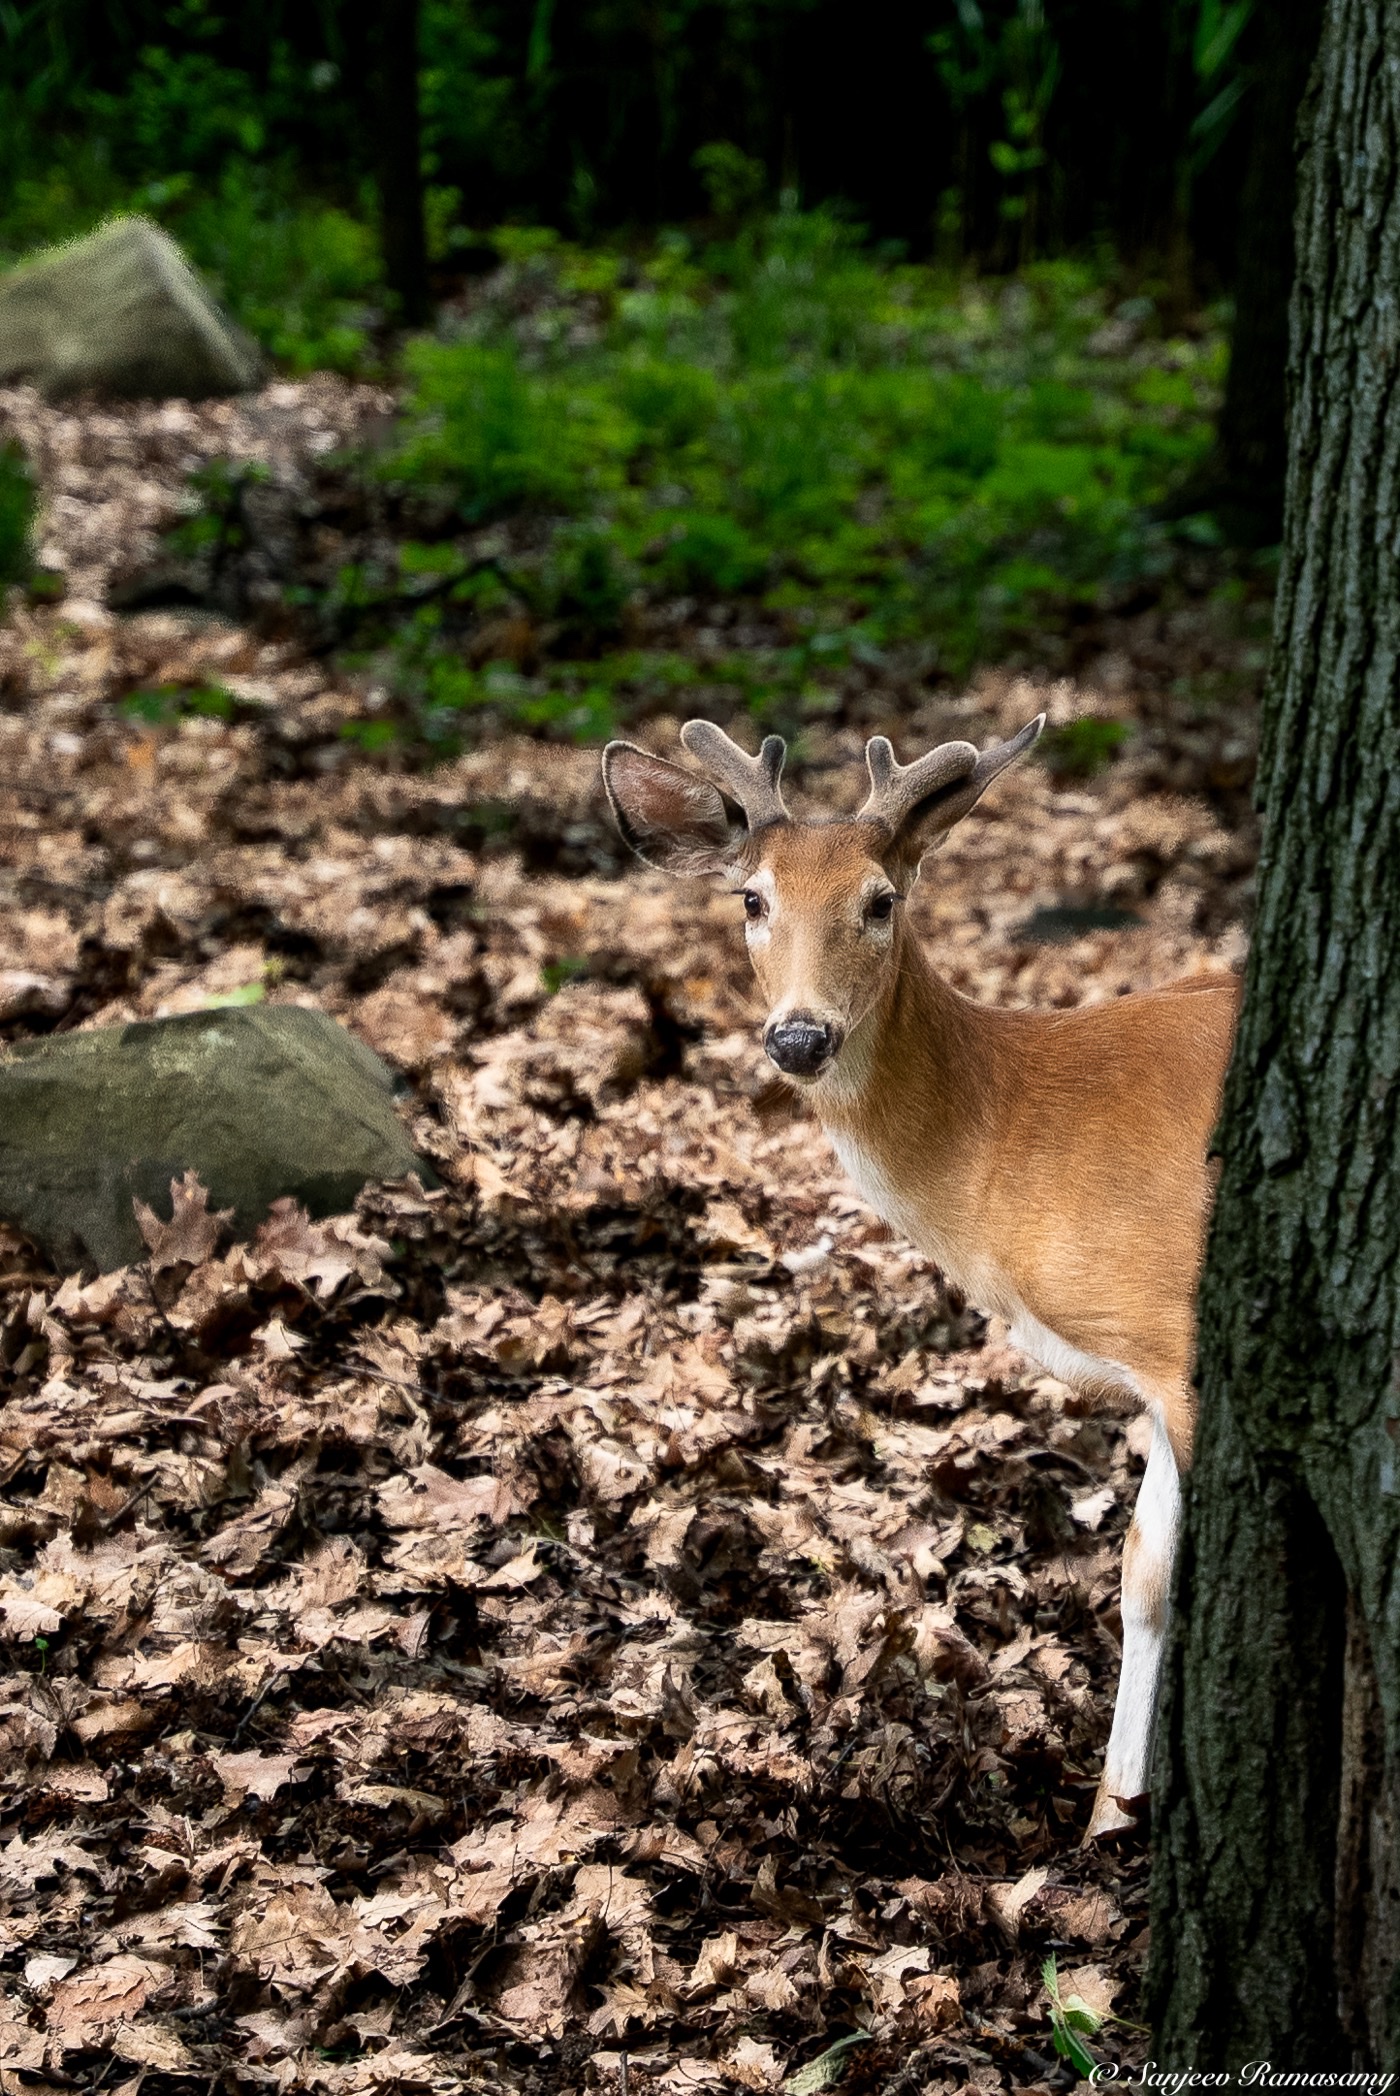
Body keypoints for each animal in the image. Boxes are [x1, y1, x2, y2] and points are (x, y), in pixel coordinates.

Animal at [601, 715, 1238, 1838]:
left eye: (879, 899)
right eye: (751, 897)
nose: (799, 1034)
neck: (1012, 1133)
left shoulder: (1179, 1332)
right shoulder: (1157, 1365)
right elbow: (1146, 1575)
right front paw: (1110, 1816)